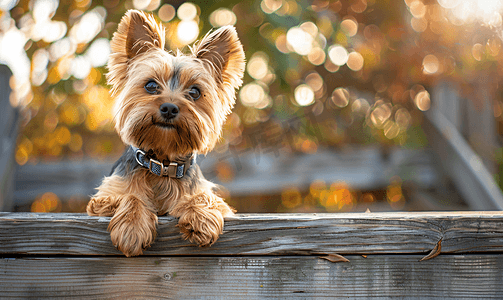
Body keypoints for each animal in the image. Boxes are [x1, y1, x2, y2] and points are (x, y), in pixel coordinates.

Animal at [87, 10, 248, 256]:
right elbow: (130, 195)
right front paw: (132, 227)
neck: (161, 164)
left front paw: (201, 217)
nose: (170, 108)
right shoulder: (102, 198)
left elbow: (204, 196)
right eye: (151, 86)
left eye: (195, 92)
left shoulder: (211, 196)